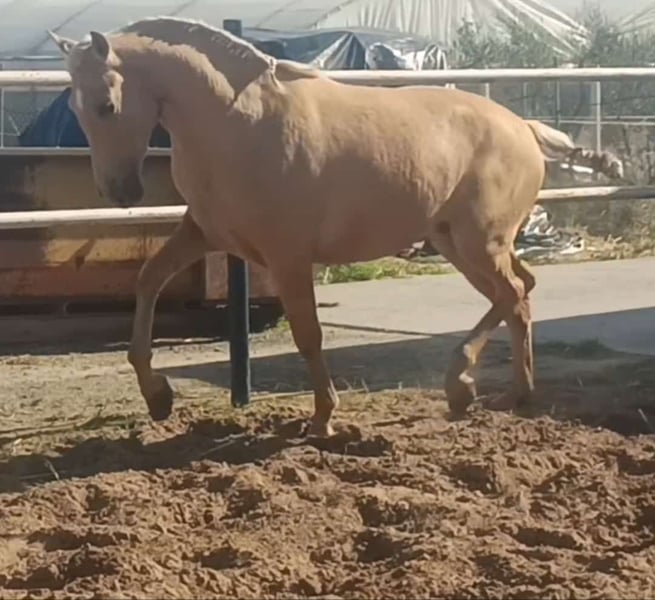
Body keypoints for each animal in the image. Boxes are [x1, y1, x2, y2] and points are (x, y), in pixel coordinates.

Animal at [48, 18, 623, 437]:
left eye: (106, 105)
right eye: (75, 105)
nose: (121, 193)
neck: (235, 122)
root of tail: (523, 127)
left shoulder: (287, 255)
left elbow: (308, 333)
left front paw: (322, 418)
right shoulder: (205, 234)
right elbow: (148, 280)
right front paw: (158, 397)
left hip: (477, 242)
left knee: (513, 295)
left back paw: (470, 386)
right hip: (458, 242)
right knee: (520, 293)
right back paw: (502, 393)